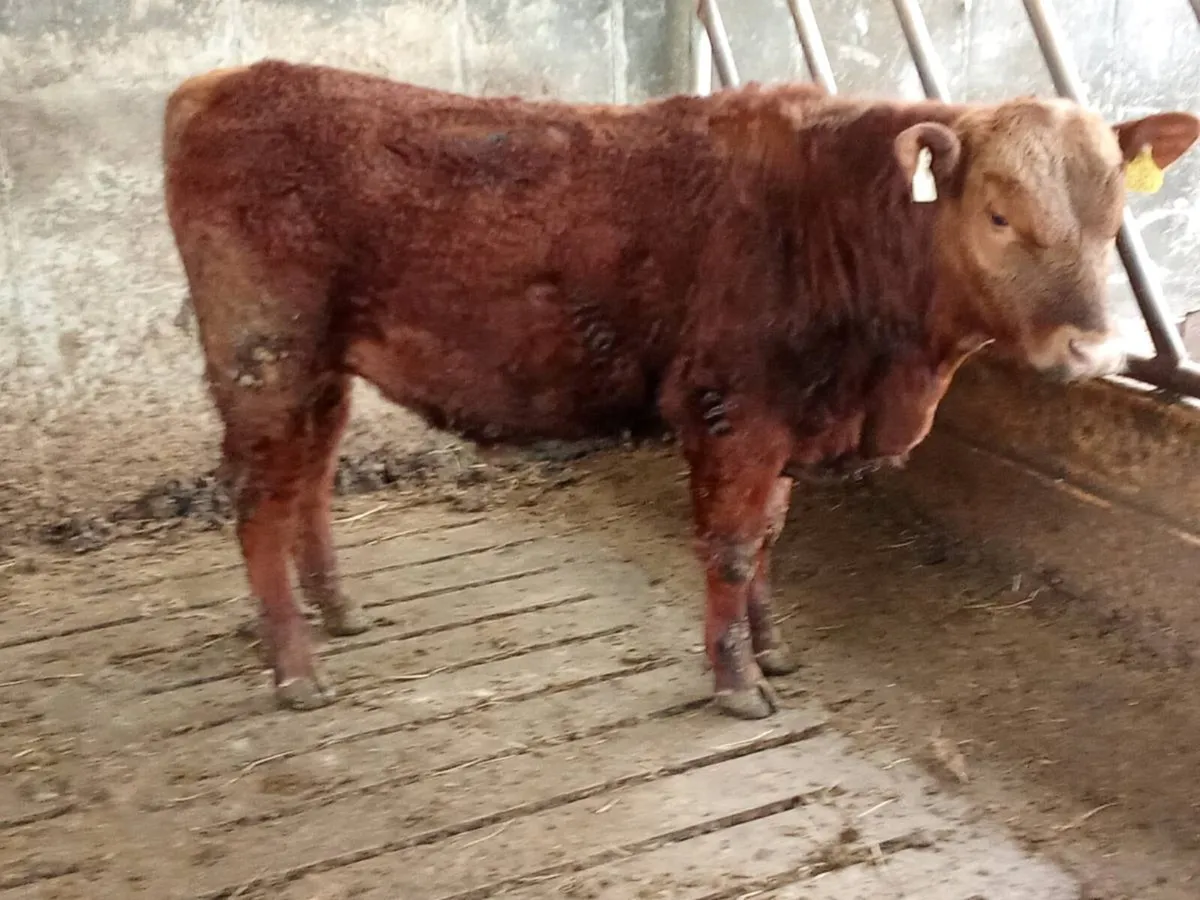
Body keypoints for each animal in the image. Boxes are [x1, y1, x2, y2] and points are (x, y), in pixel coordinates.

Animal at [162, 59, 1199, 718]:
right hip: (263, 352)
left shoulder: (788, 419)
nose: (1092, 349)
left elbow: (772, 535)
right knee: (258, 500)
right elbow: (734, 548)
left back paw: (338, 612)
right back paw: (295, 670)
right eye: (996, 215)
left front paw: (772, 645)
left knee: (310, 476)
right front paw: (739, 684)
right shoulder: (734, 412)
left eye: (1114, 215)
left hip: (318, 365)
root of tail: (225, 80)